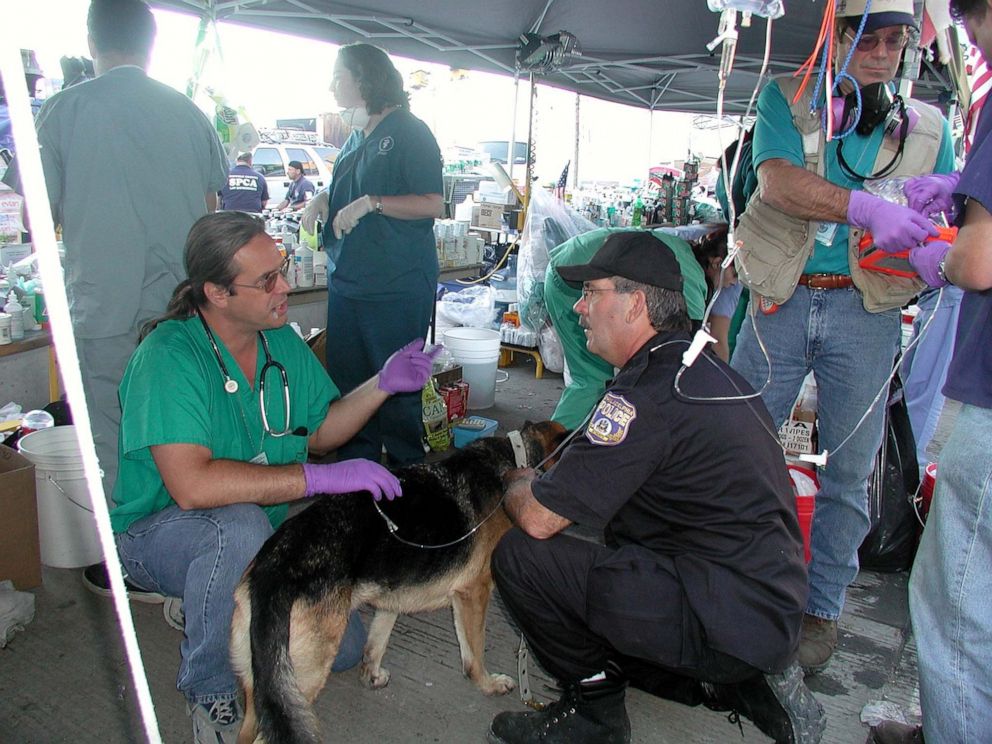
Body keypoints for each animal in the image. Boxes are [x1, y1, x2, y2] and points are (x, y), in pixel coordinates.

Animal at [228, 422, 560, 740]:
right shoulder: (473, 594)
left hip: (262, 687)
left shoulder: (394, 596)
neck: (516, 455)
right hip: (301, 680)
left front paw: (371, 674)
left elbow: (378, 640)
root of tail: (271, 567)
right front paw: (488, 684)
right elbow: (474, 652)